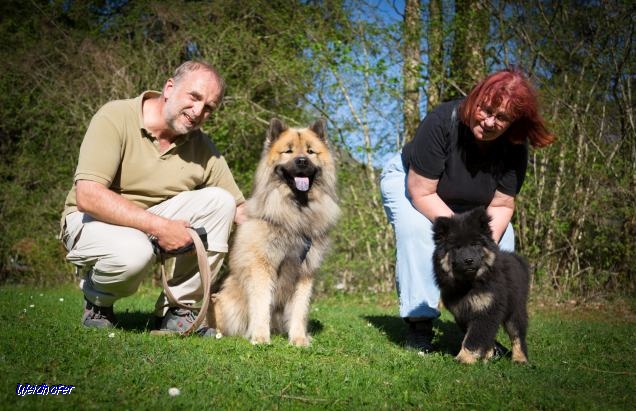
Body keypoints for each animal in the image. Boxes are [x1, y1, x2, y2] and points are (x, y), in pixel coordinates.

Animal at [211, 117, 340, 346]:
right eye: (288, 151)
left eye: (310, 151)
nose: (302, 162)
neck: (297, 210)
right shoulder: (263, 267)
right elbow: (262, 304)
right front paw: (261, 337)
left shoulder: (305, 272)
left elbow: (300, 310)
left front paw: (299, 339)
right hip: (226, 301)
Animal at [432, 208, 532, 366]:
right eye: (457, 248)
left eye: (474, 244)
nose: (468, 260)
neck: (468, 284)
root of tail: (517, 259)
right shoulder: (462, 314)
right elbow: (480, 336)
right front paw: (484, 356)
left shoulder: (486, 310)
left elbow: (473, 338)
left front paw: (463, 359)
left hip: (515, 309)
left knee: (517, 336)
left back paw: (520, 359)